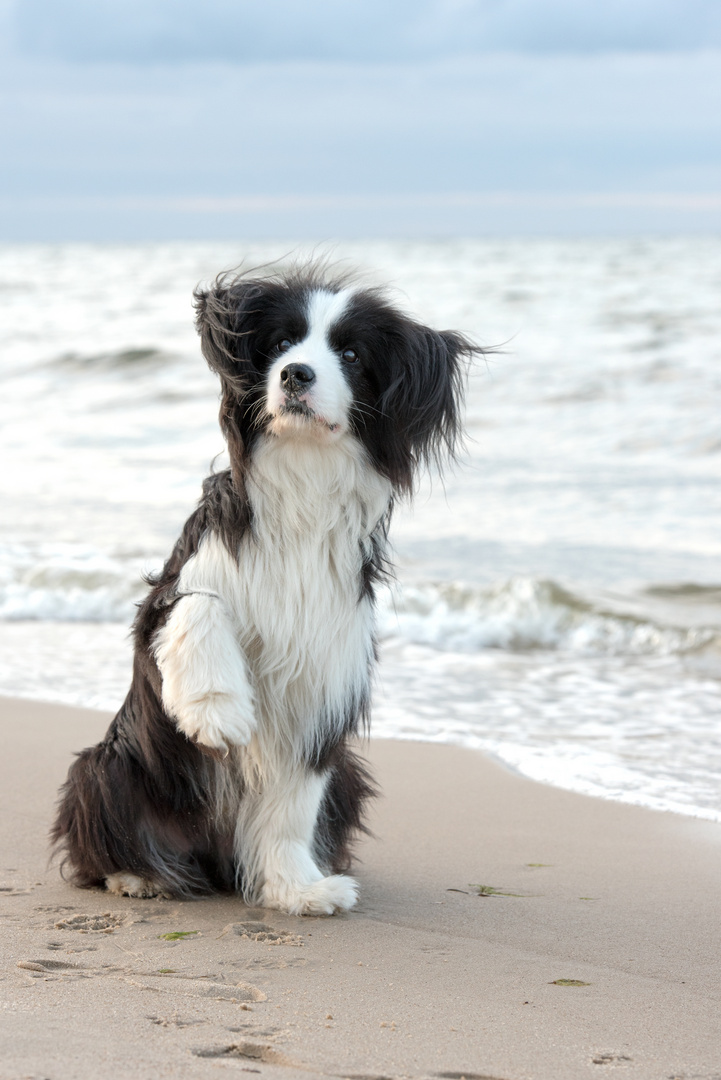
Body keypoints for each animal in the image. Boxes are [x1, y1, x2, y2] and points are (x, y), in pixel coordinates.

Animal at [52, 261, 479, 911]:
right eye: (281, 343)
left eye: (351, 354)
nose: (296, 373)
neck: (304, 480)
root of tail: (211, 861)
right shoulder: (167, 595)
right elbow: (198, 605)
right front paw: (217, 712)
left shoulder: (325, 672)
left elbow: (292, 803)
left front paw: (295, 889)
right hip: (109, 765)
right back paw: (139, 876)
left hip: (349, 775)